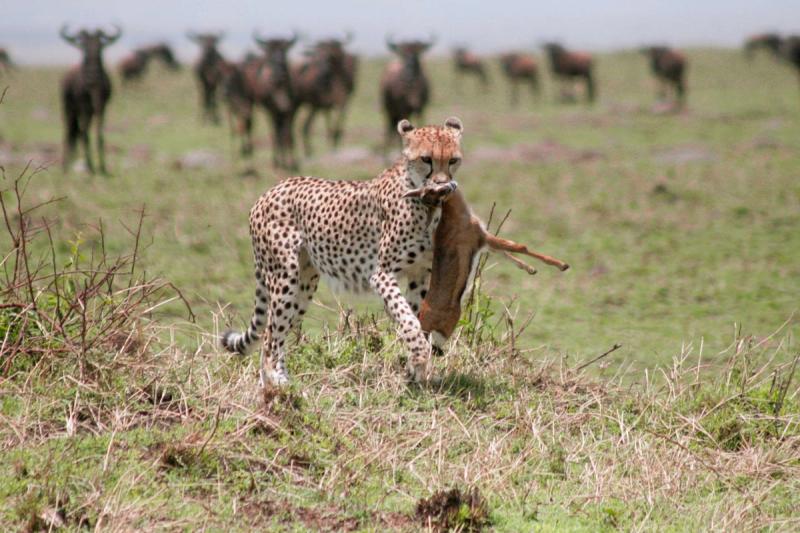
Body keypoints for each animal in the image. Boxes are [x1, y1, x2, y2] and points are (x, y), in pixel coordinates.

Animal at [221, 116, 464, 387]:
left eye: (453, 160)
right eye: (426, 159)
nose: (443, 185)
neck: (424, 200)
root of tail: (269, 191)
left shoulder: (419, 275)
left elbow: (411, 316)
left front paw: (415, 370)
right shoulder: (382, 274)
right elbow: (408, 318)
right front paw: (420, 356)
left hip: (304, 282)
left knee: (280, 330)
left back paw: (283, 382)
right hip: (285, 277)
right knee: (269, 338)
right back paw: (276, 385)